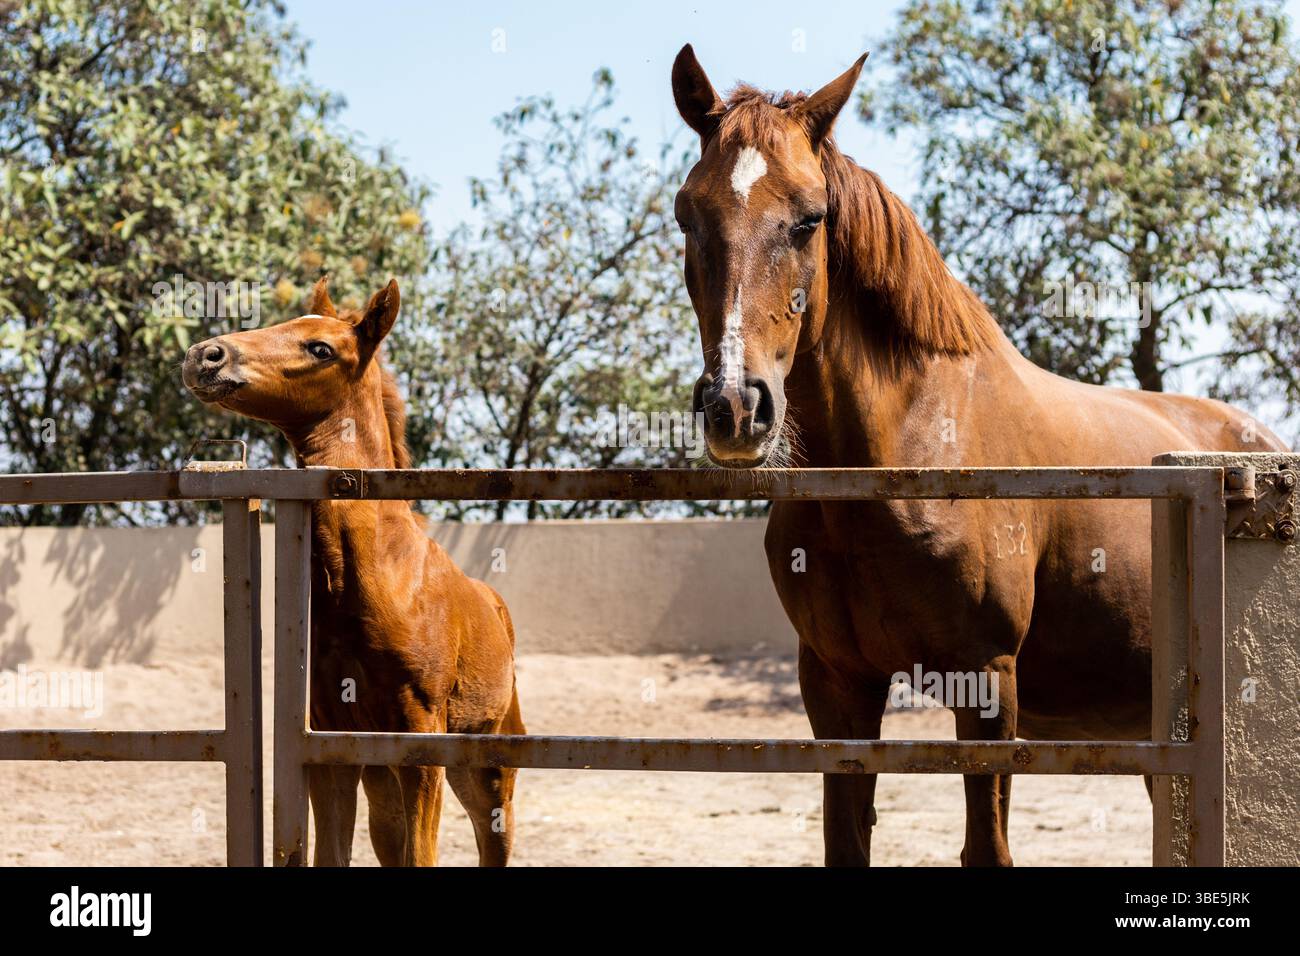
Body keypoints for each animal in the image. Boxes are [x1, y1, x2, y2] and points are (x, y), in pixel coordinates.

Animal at [182, 277, 524, 866]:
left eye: (321, 348)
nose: (206, 355)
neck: (386, 579)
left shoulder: (421, 747)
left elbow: (422, 856)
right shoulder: (329, 745)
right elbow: (334, 851)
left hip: (488, 766)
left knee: (493, 840)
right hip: (384, 775)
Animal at [669, 45, 1288, 866]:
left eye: (809, 218)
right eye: (688, 215)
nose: (737, 408)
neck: (904, 456)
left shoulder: (988, 683)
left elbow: (987, 848)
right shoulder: (835, 686)